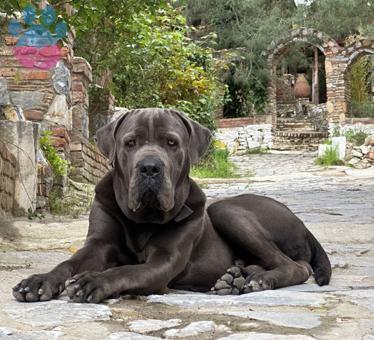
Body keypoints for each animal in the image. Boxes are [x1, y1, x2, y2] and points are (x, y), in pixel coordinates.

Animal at [13, 108, 332, 302]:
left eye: (171, 143)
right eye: (130, 142)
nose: (150, 168)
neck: (142, 220)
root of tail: (301, 223)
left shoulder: (164, 260)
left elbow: (126, 271)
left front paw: (94, 281)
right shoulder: (99, 244)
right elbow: (68, 263)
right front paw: (39, 281)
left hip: (226, 210)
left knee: (296, 266)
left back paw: (259, 280)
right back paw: (236, 277)